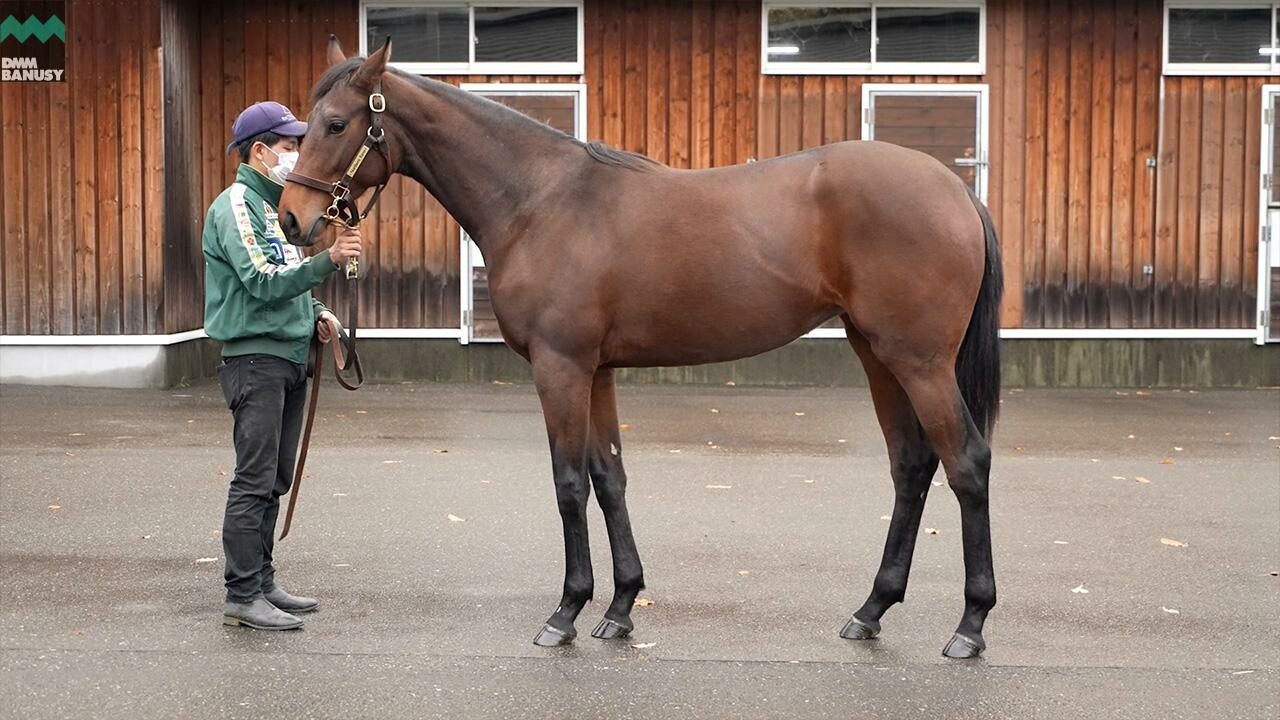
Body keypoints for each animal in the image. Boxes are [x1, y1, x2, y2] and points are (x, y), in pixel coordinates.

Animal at [277, 37, 998, 655]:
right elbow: (610, 478)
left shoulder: (561, 369)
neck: (541, 200)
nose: (290, 219)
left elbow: (569, 482)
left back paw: (970, 624)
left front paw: (566, 611)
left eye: (336, 124)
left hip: (920, 363)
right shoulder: (596, 372)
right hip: (878, 354)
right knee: (911, 466)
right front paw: (620, 607)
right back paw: (871, 610)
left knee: (966, 462)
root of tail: (955, 187)